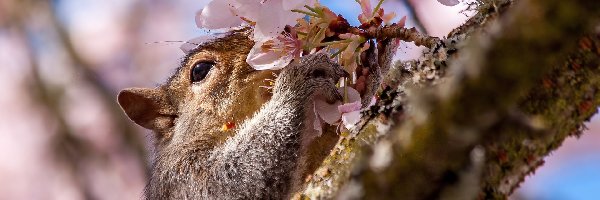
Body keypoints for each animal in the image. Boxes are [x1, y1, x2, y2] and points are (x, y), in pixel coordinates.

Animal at [117, 28, 398, 200]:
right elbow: (234, 181)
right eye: (199, 70)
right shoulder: (182, 177)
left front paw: (366, 78)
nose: (285, 33)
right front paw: (295, 84)